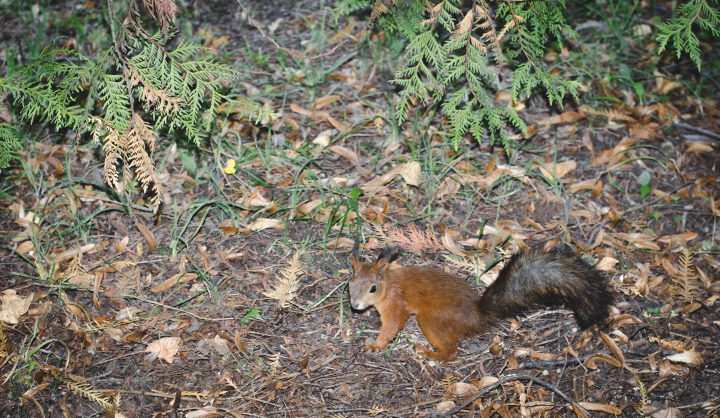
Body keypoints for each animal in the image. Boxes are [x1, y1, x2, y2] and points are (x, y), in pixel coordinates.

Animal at [349, 242, 613, 361]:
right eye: (349, 283)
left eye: (372, 288)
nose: (355, 305)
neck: (388, 284)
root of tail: (478, 314)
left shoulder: (396, 306)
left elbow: (392, 327)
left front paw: (375, 345)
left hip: (431, 318)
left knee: (451, 351)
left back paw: (430, 353)